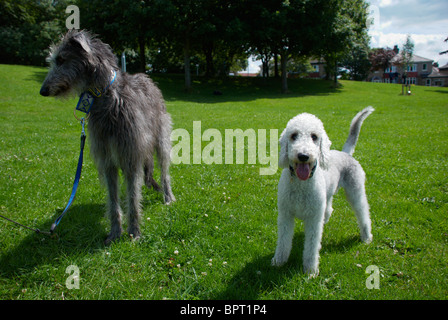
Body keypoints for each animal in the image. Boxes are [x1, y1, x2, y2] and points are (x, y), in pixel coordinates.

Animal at [40, 30, 175, 245]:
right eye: (55, 60)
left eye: (61, 59)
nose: (43, 90)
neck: (107, 98)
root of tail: (148, 79)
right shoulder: (107, 158)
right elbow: (113, 198)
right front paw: (115, 232)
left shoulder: (130, 154)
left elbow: (133, 196)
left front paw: (134, 231)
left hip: (160, 136)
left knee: (164, 171)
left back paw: (168, 196)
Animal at [272, 106, 374, 276]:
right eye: (293, 135)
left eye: (314, 136)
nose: (303, 155)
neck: (301, 184)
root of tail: (345, 153)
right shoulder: (286, 215)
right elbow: (283, 240)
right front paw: (279, 261)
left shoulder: (313, 219)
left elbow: (312, 246)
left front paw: (310, 271)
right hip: (329, 193)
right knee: (329, 209)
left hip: (356, 190)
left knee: (363, 212)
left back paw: (366, 237)